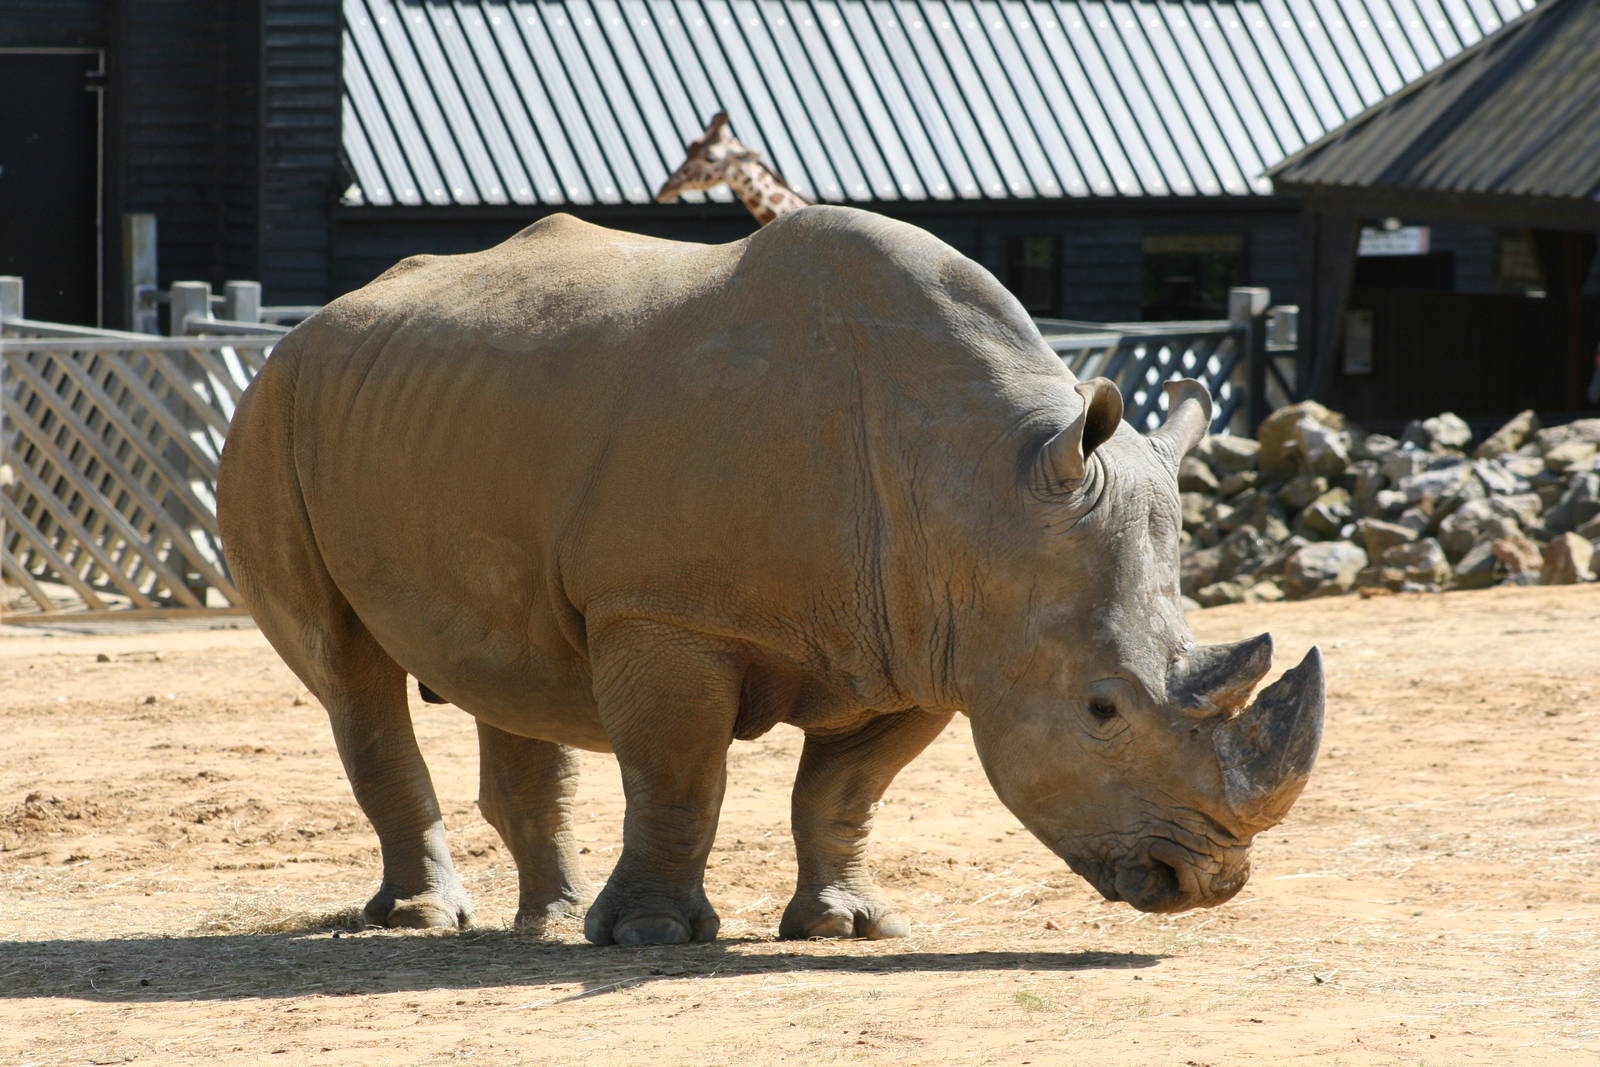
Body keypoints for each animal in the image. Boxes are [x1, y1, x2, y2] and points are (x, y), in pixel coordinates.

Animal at [217, 206, 1323, 946]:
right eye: (1101, 710)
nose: (1206, 880)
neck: (979, 490)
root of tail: (307, 325)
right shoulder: (666, 611)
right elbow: (680, 773)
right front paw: (653, 937)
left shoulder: (927, 637)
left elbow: (843, 788)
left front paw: (846, 925)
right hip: (272, 411)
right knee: (349, 672)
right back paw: (421, 920)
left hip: (438, 410)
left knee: (510, 666)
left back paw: (547, 923)